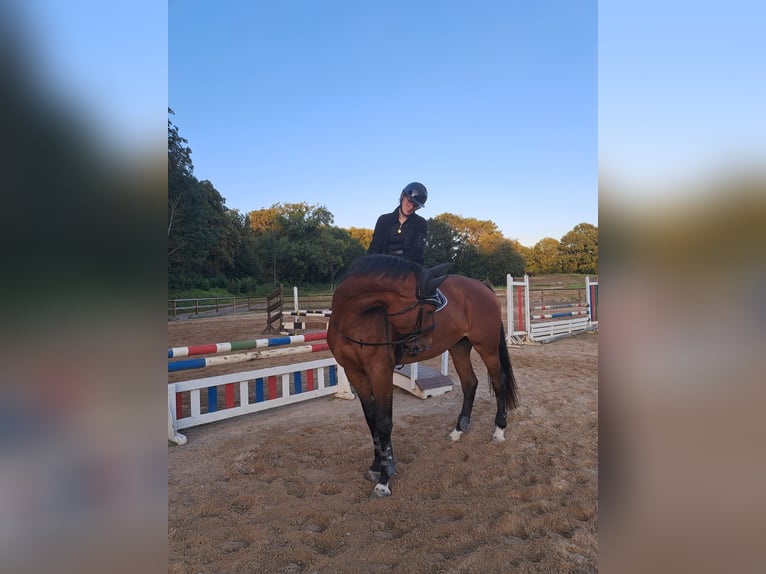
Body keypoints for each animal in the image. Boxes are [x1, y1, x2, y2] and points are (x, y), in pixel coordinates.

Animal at [327, 254, 519, 497]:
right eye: (428, 310)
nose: (425, 343)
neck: (354, 319)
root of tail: (482, 286)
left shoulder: (380, 371)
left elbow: (384, 422)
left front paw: (384, 479)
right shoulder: (355, 372)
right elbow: (371, 421)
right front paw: (376, 466)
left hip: (487, 347)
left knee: (498, 382)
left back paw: (499, 431)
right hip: (459, 347)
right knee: (469, 383)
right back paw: (458, 430)